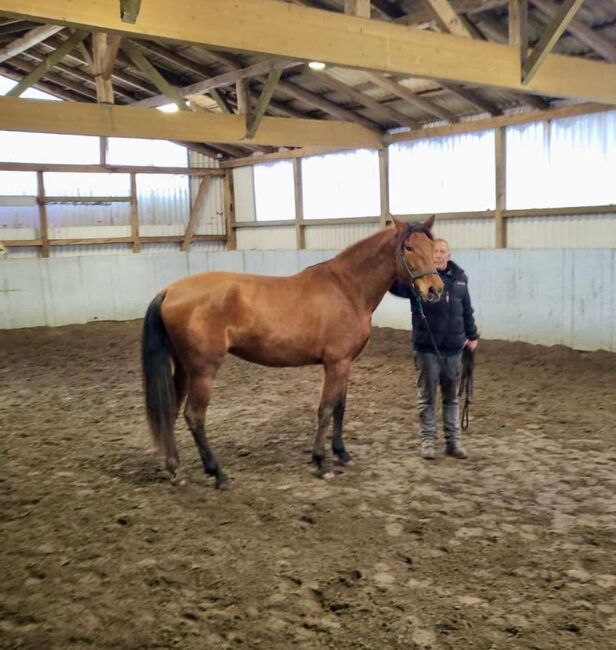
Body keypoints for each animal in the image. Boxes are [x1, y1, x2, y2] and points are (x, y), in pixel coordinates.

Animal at [143, 215, 446, 488]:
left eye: (432, 247)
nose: (434, 289)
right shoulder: (336, 363)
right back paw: (217, 473)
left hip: (184, 369)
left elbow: (340, 407)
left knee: (170, 411)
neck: (347, 288)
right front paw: (321, 462)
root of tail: (170, 290)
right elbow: (326, 409)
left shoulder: (346, 363)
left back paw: (174, 469)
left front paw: (341, 453)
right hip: (203, 371)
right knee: (194, 416)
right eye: (409, 247)